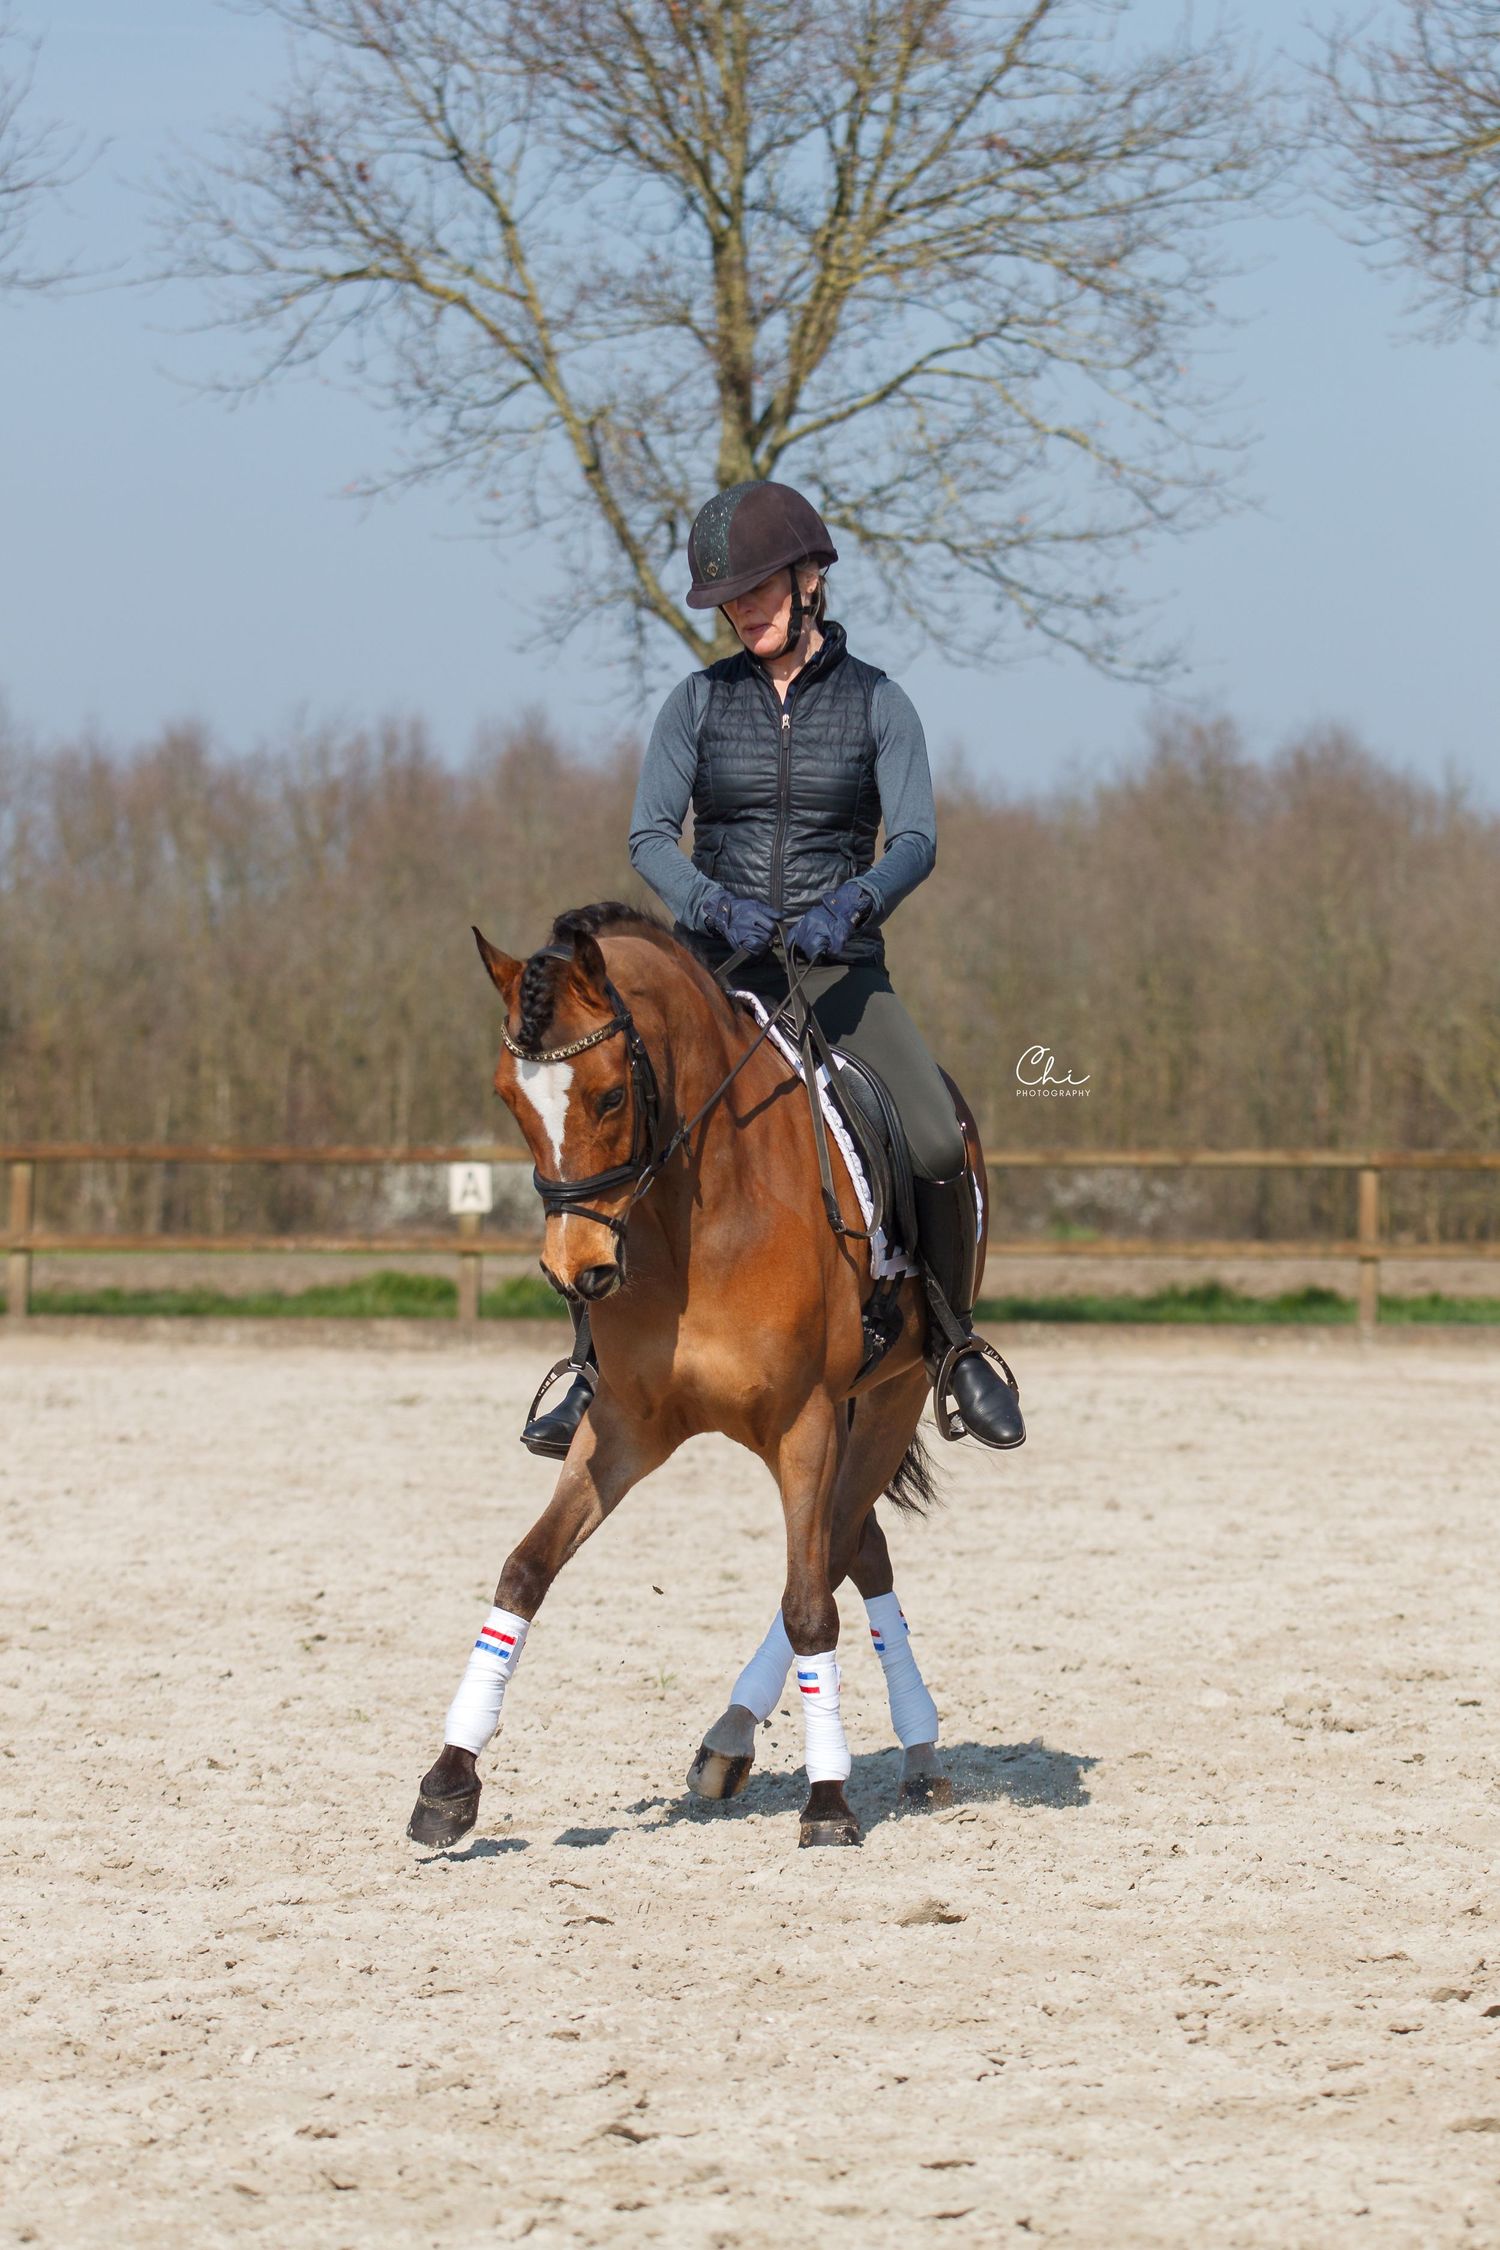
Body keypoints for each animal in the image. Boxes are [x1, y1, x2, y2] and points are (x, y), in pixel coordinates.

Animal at [407, 902, 987, 1849]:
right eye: (509, 1100)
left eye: (610, 1095)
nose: (576, 1270)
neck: (701, 1217)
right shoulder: (624, 1427)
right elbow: (526, 1569)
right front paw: (449, 1782)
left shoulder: (805, 1422)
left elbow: (808, 1604)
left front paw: (828, 1802)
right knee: (857, 1547)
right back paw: (806, 1744)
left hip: (888, 1399)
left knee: (830, 1558)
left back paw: (867, 1744)